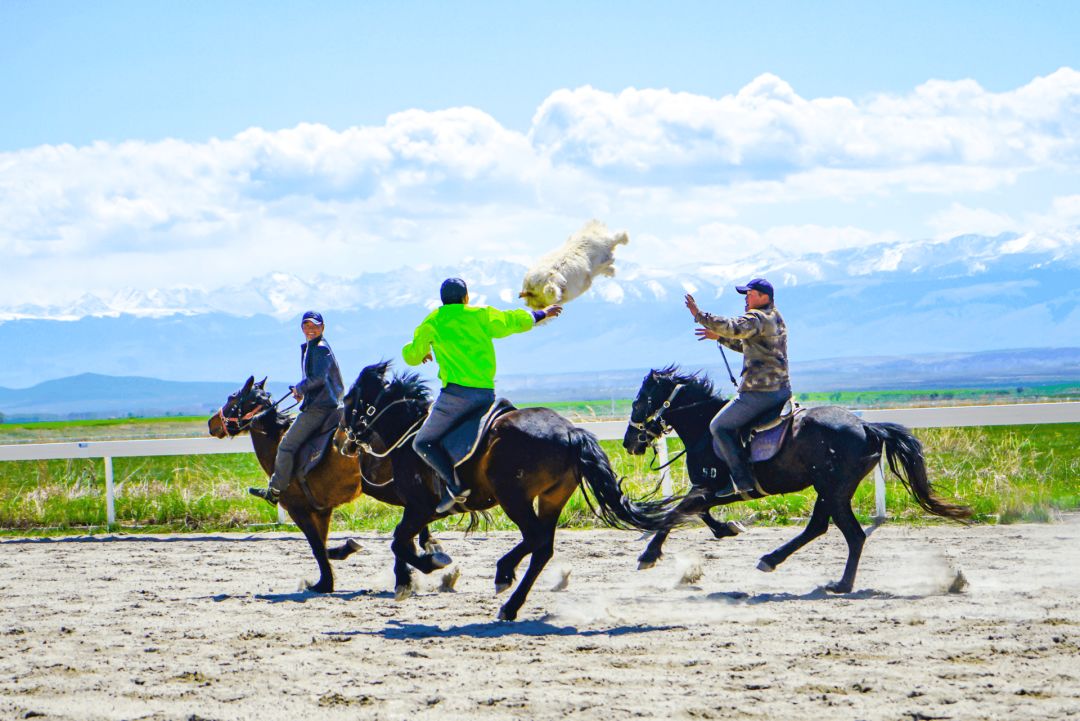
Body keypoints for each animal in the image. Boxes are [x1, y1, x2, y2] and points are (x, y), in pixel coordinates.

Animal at [206, 377, 447, 591]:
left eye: (232, 397)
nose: (211, 423)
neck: (277, 440)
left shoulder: (298, 510)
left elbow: (317, 548)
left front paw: (324, 584)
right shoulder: (323, 511)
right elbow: (323, 545)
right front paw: (345, 550)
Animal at [339, 362, 665, 621]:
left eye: (349, 399)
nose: (345, 440)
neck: (410, 436)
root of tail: (571, 432)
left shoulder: (420, 508)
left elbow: (398, 540)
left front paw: (426, 566)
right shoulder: (424, 511)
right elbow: (402, 539)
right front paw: (408, 577)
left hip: (514, 498)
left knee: (535, 538)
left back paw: (504, 573)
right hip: (551, 498)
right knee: (543, 548)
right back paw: (511, 605)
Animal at [626, 366, 972, 591]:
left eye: (638, 401)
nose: (629, 442)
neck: (704, 429)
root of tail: (866, 426)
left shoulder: (708, 487)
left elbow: (676, 514)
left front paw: (648, 555)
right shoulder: (710, 490)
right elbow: (699, 513)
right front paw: (728, 529)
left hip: (833, 490)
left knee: (850, 534)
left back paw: (833, 582)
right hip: (831, 491)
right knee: (823, 528)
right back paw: (783, 563)